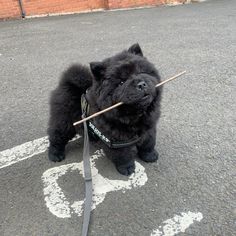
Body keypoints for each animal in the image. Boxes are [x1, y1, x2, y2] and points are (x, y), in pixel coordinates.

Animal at [47, 43, 162, 175]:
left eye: (142, 72)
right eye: (121, 82)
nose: (141, 84)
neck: (135, 116)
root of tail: (65, 83)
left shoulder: (149, 129)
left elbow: (148, 143)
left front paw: (150, 156)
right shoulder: (115, 141)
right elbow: (123, 155)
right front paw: (127, 168)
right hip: (64, 122)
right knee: (56, 135)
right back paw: (55, 154)